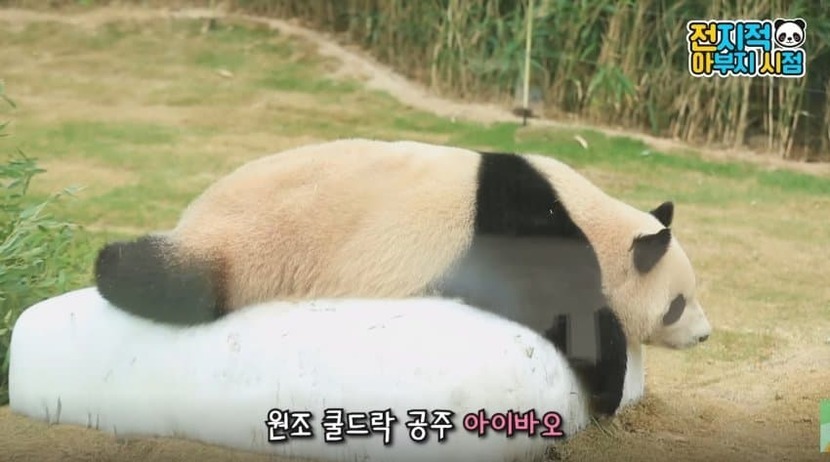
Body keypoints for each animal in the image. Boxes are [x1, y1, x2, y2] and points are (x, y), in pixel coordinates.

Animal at [94, 138, 712, 417]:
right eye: (679, 303)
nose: (706, 335)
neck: (591, 217)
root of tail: (194, 219)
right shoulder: (520, 229)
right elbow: (562, 307)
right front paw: (607, 389)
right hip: (247, 243)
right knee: (169, 283)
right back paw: (114, 266)